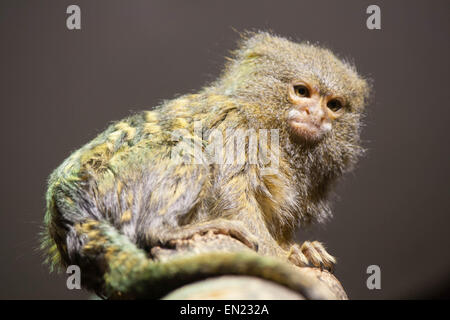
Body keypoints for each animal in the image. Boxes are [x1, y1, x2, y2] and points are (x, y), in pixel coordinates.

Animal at [40, 31, 370, 298]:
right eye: (302, 91)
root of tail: (67, 206)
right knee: (186, 158)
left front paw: (302, 249)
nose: (316, 115)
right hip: (115, 182)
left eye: (334, 105)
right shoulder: (235, 127)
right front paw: (285, 256)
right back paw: (169, 230)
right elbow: (233, 195)